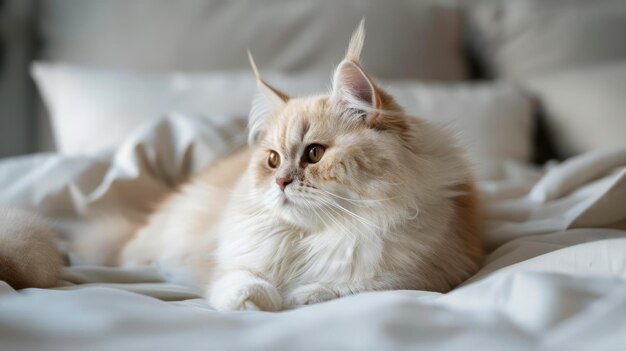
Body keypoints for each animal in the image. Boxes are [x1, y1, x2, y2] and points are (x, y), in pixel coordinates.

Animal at [0, 21, 482, 310]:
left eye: (314, 154)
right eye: (273, 160)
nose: (281, 182)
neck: (314, 238)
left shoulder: (420, 273)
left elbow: (338, 289)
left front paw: (299, 298)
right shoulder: (236, 259)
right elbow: (241, 281)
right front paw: (255, 302)